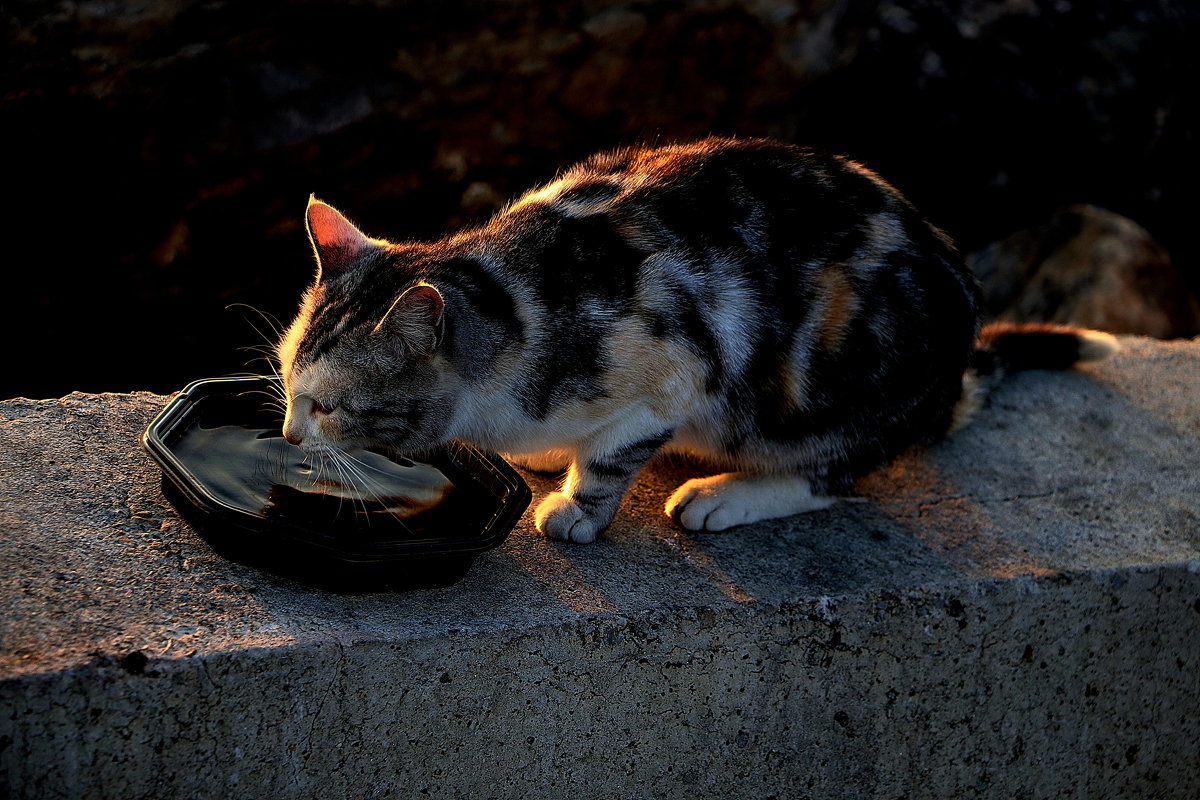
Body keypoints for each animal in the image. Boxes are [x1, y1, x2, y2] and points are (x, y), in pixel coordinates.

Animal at [274, 140, 1113, 546]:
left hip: (839, 378)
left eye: (328, 407)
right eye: (286, 388)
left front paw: (577, 508)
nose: (286, 434)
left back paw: (721, 496)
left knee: (835, 476)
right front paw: (548, 455)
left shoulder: (676, 372)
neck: (513, 304)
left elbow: (613, 456)